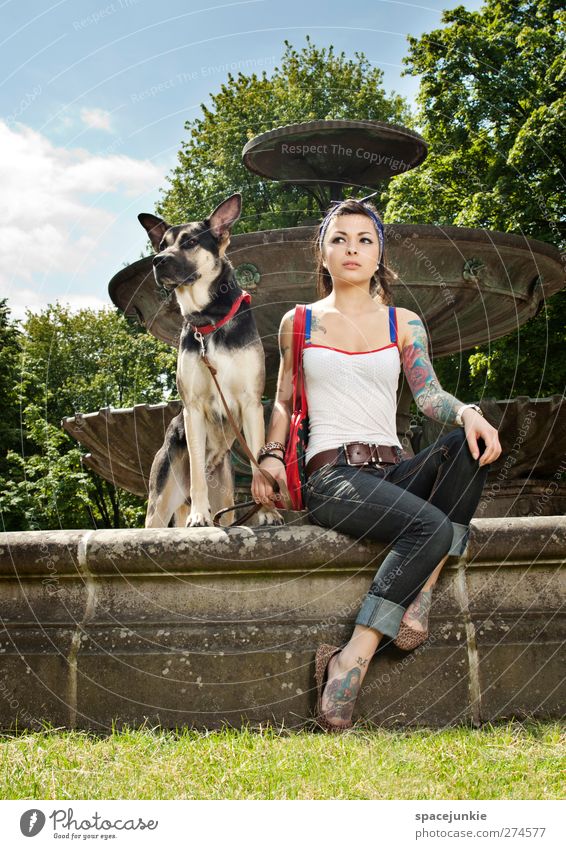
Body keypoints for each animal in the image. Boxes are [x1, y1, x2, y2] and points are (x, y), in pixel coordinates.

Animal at [139, 192, 282, 528]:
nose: (157, 261)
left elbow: (258, 464)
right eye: (162, 244)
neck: (209, 321)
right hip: (161, 498)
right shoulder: (193, 408)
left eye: (190, 242)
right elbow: (197, 476)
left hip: (226, 498)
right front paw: (199, 516)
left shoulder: (251, 403)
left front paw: (267, 512)